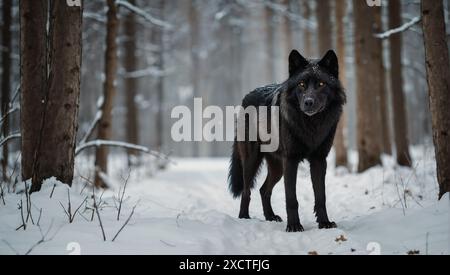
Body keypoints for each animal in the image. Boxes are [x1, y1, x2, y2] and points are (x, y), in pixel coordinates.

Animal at [229, 50, 344, 233]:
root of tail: (246, 97)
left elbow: (321, 196)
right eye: (302, 84)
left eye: (321, 83)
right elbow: (291, 198)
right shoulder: (290, 160)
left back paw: (270, 217)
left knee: (263, 190)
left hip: (277, 168)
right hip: (252, 162)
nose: (308, 102)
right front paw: (294, 226)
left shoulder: (319, 160)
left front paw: (324, 223)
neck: (311, 125)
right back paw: (244, 217)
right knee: (247, 191)